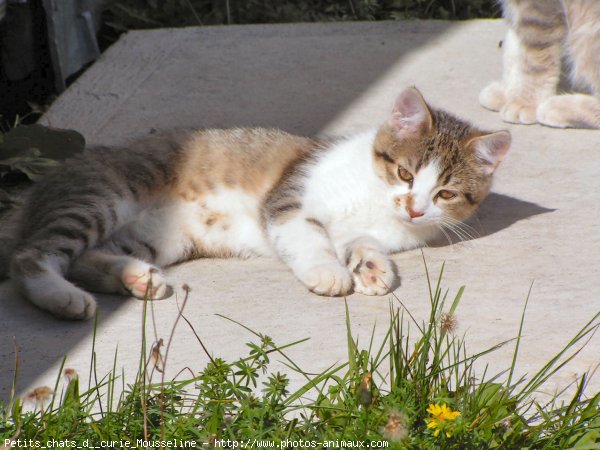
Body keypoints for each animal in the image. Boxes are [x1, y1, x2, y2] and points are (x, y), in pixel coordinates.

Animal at [0, 87, 510, 320]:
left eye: (445, 193)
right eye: (405, 173)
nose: (415, 209)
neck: (375, 199)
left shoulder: (366, 229)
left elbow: (361, 242)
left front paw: (371, 266)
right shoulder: (289, 197)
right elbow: (309, 236)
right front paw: (329, 272)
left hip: (157, 238)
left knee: (85, 257)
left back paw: (134, 278)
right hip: (100, 196)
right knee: (32, 256)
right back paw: (61, 296)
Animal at [480, 0, 600, 128]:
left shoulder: (539, 13)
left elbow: (533, 64)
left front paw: (524, 103)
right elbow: (513, 49)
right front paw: (507, 91)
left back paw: (558, 107)